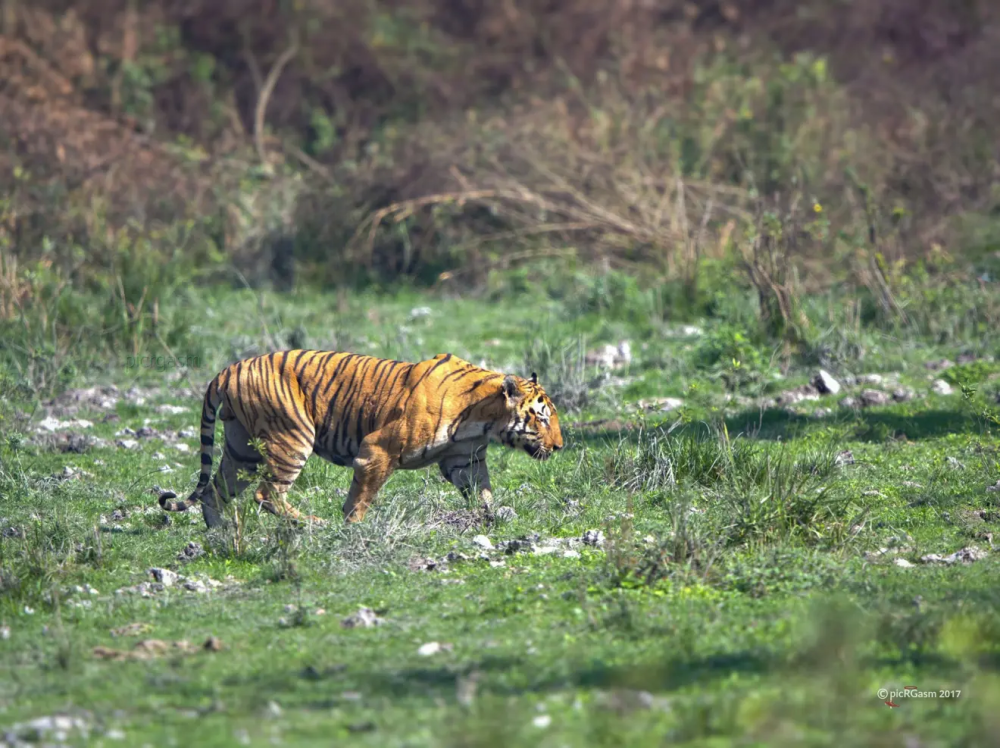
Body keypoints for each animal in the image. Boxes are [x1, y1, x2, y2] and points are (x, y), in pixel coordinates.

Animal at [157, 350, 564, 524]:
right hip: (292, 437)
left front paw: (494, 517)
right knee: (266, 494)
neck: (482, 419)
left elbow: (483, 492)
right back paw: (313, 524)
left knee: (214, 492)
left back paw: (220, 534)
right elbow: (361, 497)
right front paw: (352, 527)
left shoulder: (465, 459)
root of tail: (226, 370)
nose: (560, 446)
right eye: (543, 419)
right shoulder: (377, 449)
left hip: (242, 450)